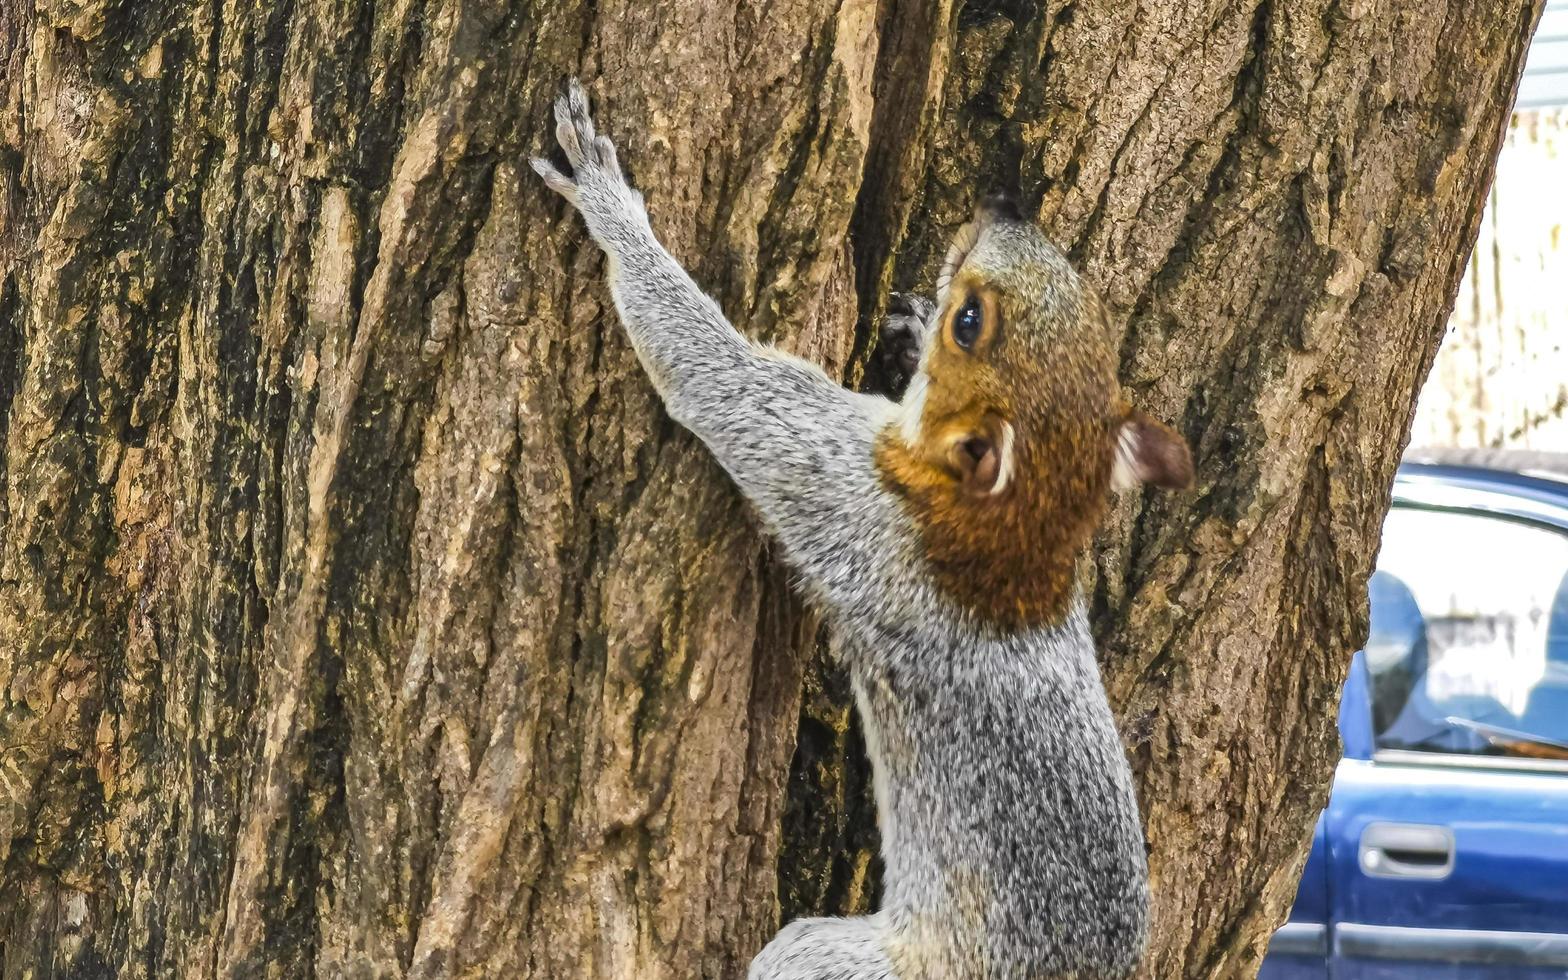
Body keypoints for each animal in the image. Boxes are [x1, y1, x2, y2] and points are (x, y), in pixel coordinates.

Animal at [533, 78, 1191, 978]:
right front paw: (907, 329)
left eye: (971, 323)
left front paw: (610, 207)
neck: (1018, 527)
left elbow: (714, 378)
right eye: (1091, 318)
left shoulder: (841, 484)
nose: (1004, 202)